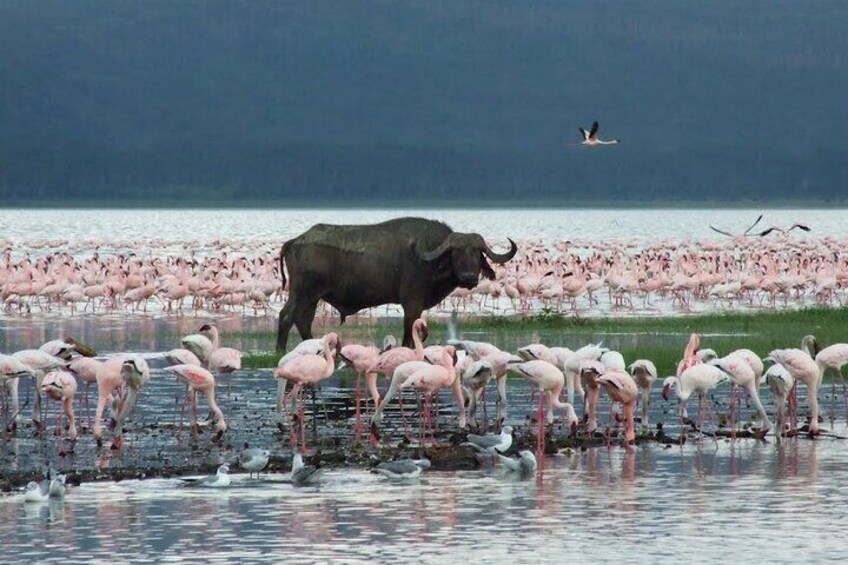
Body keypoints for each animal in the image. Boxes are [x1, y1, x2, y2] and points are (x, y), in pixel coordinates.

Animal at [276, 217, 517, 352]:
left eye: (477, 253)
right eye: (456, 252)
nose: (468, 277)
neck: (429, 257)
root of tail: (295, 241)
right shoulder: (412, 302)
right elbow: (409, 331)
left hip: (313, 297)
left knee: (303, 321)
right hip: (303, 292)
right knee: (287, 316)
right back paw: (280, 350)